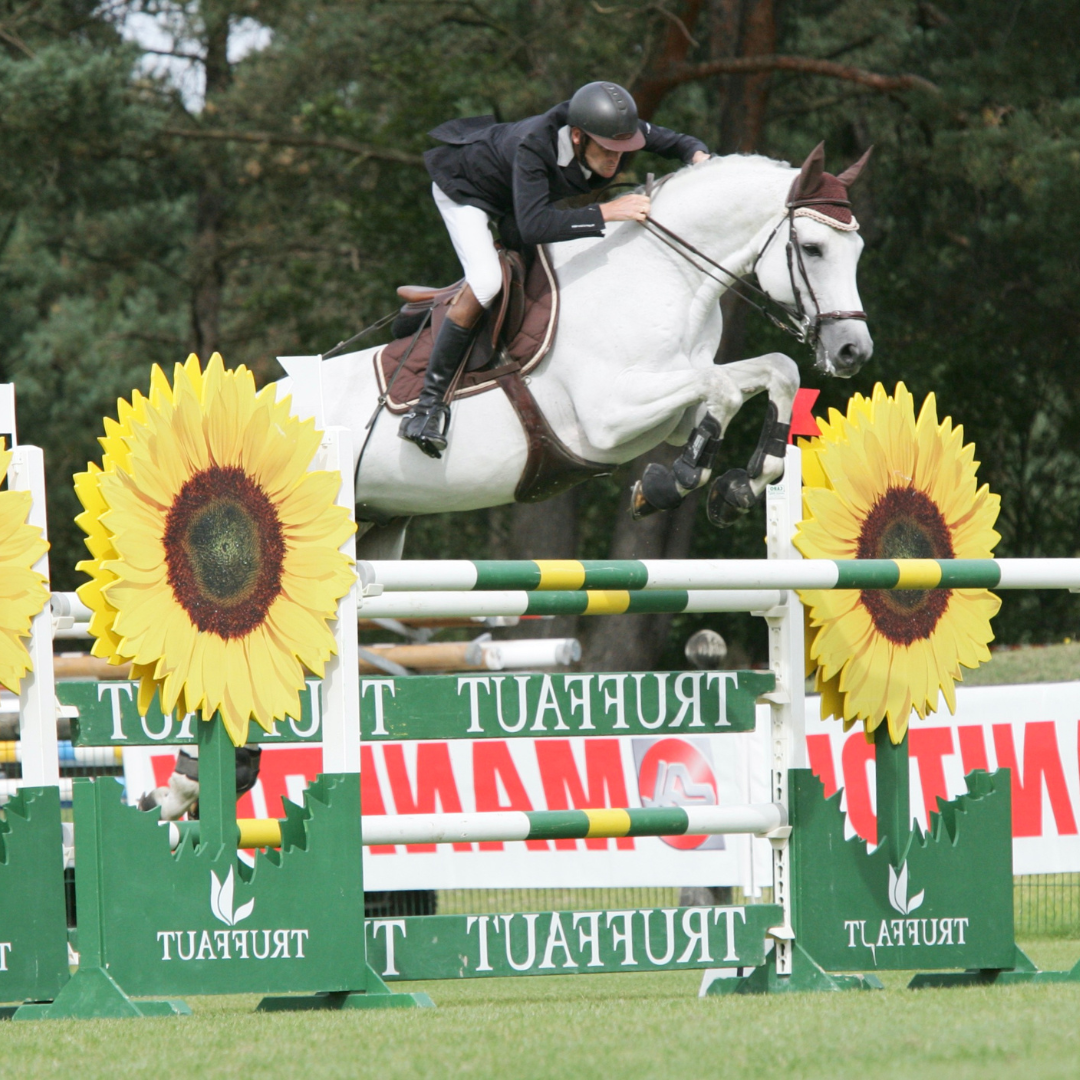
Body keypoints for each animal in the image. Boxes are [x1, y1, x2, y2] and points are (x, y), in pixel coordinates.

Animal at [275, 143, 873, 560]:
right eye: (813, 248)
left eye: (858, 248)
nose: (852, 352)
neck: (665, 274)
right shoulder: (610, 415)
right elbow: (724, 389)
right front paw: (668, 484)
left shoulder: (676, 408)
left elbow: (777, 371)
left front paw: (736, 488)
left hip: (378, 521)